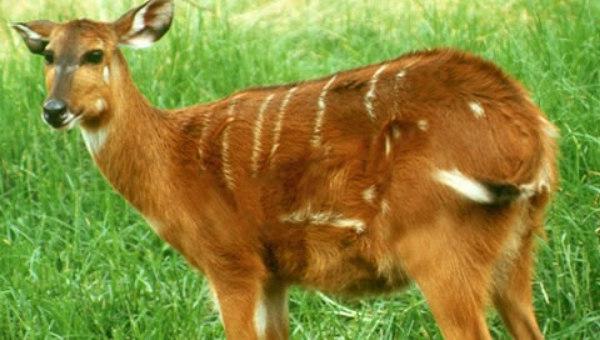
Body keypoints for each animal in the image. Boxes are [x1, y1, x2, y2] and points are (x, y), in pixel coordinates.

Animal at [12, 0, 556, 338]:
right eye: (49, 55)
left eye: (95, 54)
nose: (54, 110)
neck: (173, 161)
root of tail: (531, 130)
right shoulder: (274, 275)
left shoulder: (231, 262)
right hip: (518, 245)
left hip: (442, 245)